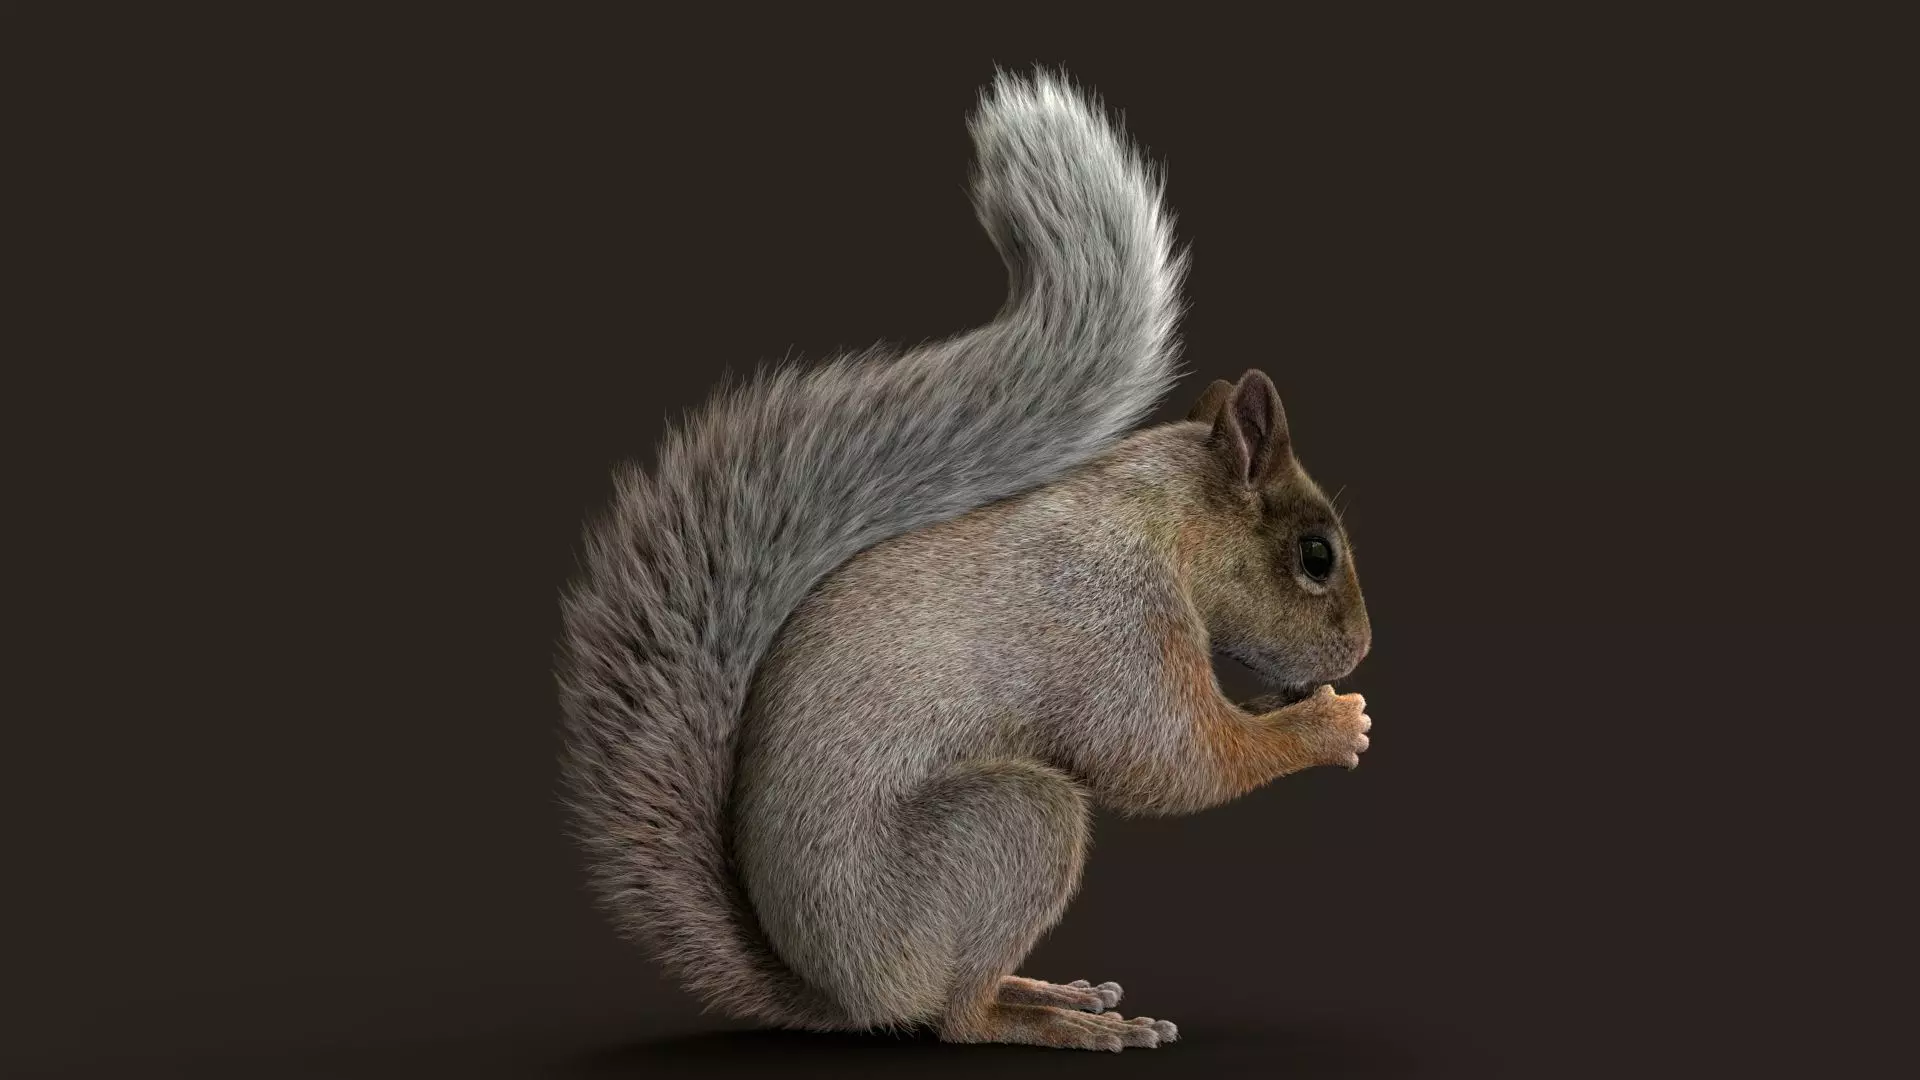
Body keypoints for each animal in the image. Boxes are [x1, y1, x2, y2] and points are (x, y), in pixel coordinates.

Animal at [556, 69, 1372, 1053]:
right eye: (1316, 555)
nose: (1360, 651)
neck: (1160, 521)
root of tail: (847, 994)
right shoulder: (1114, 625)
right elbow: (1173, 762)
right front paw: (1327, 726)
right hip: (1006, 828)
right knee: (956, 1016)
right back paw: (1049, 1021)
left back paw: (1050, 989)